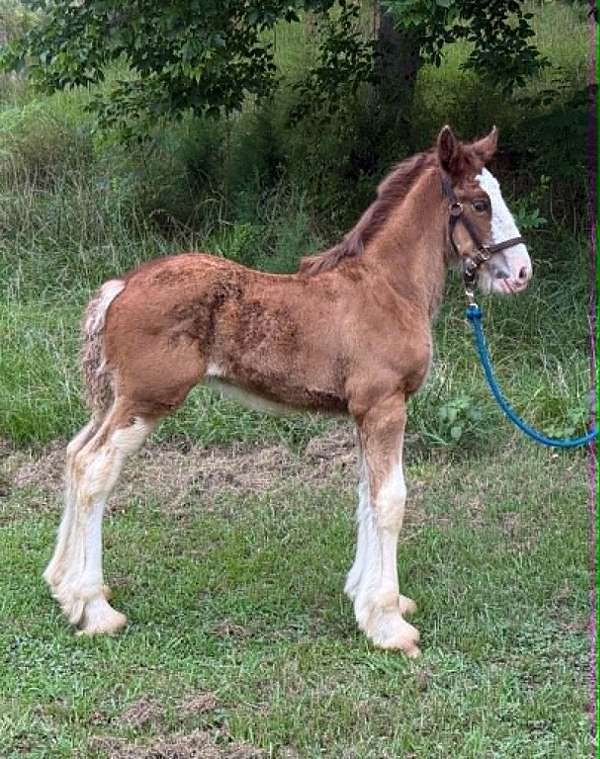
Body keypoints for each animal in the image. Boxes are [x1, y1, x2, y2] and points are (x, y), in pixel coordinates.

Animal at [43, 125, 532, 656]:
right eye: (480, 202)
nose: (522, 272)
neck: (387, 289)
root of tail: (121, 285)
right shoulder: (385, 407)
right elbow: (390, 500)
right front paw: (388, 623)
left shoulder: (363, 413)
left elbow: (365, 494)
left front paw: (366, 597)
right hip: (145, 401)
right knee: (95, 469)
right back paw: (94, 608)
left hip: (113, 400)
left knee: (74, 454)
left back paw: (62, 585)